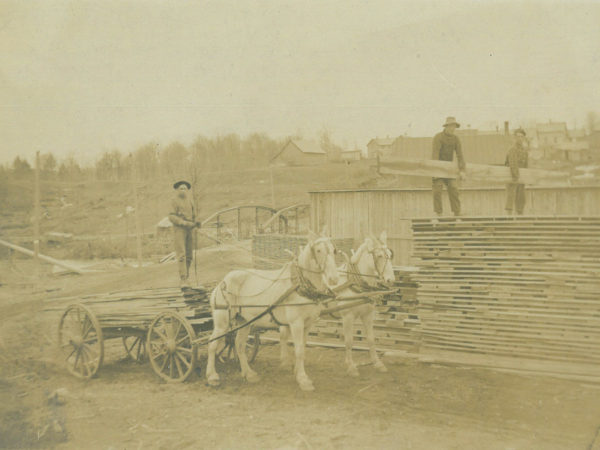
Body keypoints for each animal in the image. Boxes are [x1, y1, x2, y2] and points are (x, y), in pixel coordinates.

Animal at [205, 229, 338, 390]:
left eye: (334, 250)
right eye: (318, 250)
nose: (333, 279)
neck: (300, 284)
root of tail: (222, 282)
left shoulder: (308, 324)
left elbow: (303, 349)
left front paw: (297, 373)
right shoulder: (296, 323)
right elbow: (299, 350)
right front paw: (303, 379)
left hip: (244, 321)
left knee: (239, 345)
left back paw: (249, 374)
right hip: (222, 322)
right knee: (212, 344)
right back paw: (212, 376)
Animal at [280, 232, 396, 376]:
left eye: (390, 255)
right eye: (379, 256)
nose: (391, 279)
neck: (355, 282)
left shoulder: (368, 315)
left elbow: (371, 339)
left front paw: (378, 364)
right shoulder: (348, 316)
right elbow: (349, 341)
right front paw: (351, 366)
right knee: (283, 335)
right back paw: (285, 362)